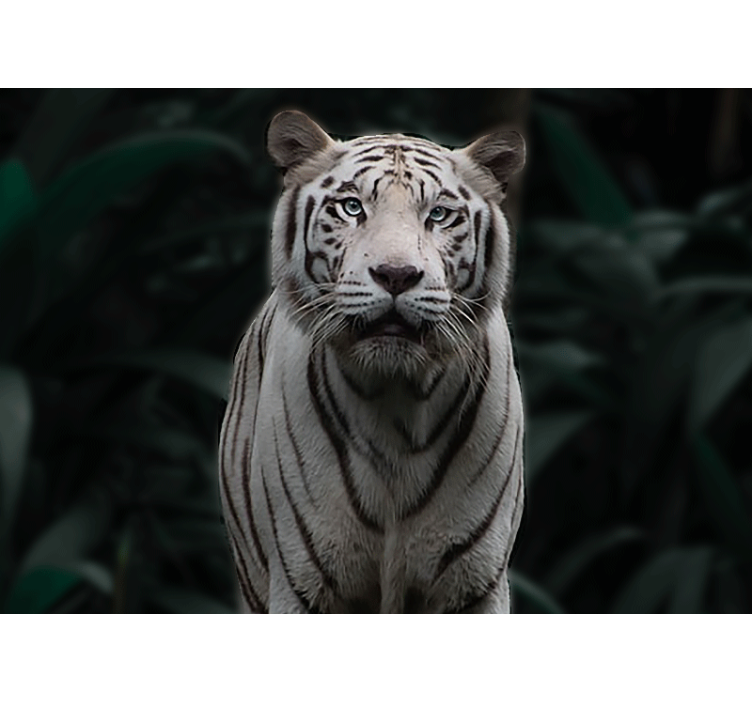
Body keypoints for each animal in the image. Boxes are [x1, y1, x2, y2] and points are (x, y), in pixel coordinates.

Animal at [218, 110, 526, 613]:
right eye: (351, 208)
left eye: (438, 214)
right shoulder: (304, 582)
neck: (397, 400)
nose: (396, 275)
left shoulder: (473, 581)